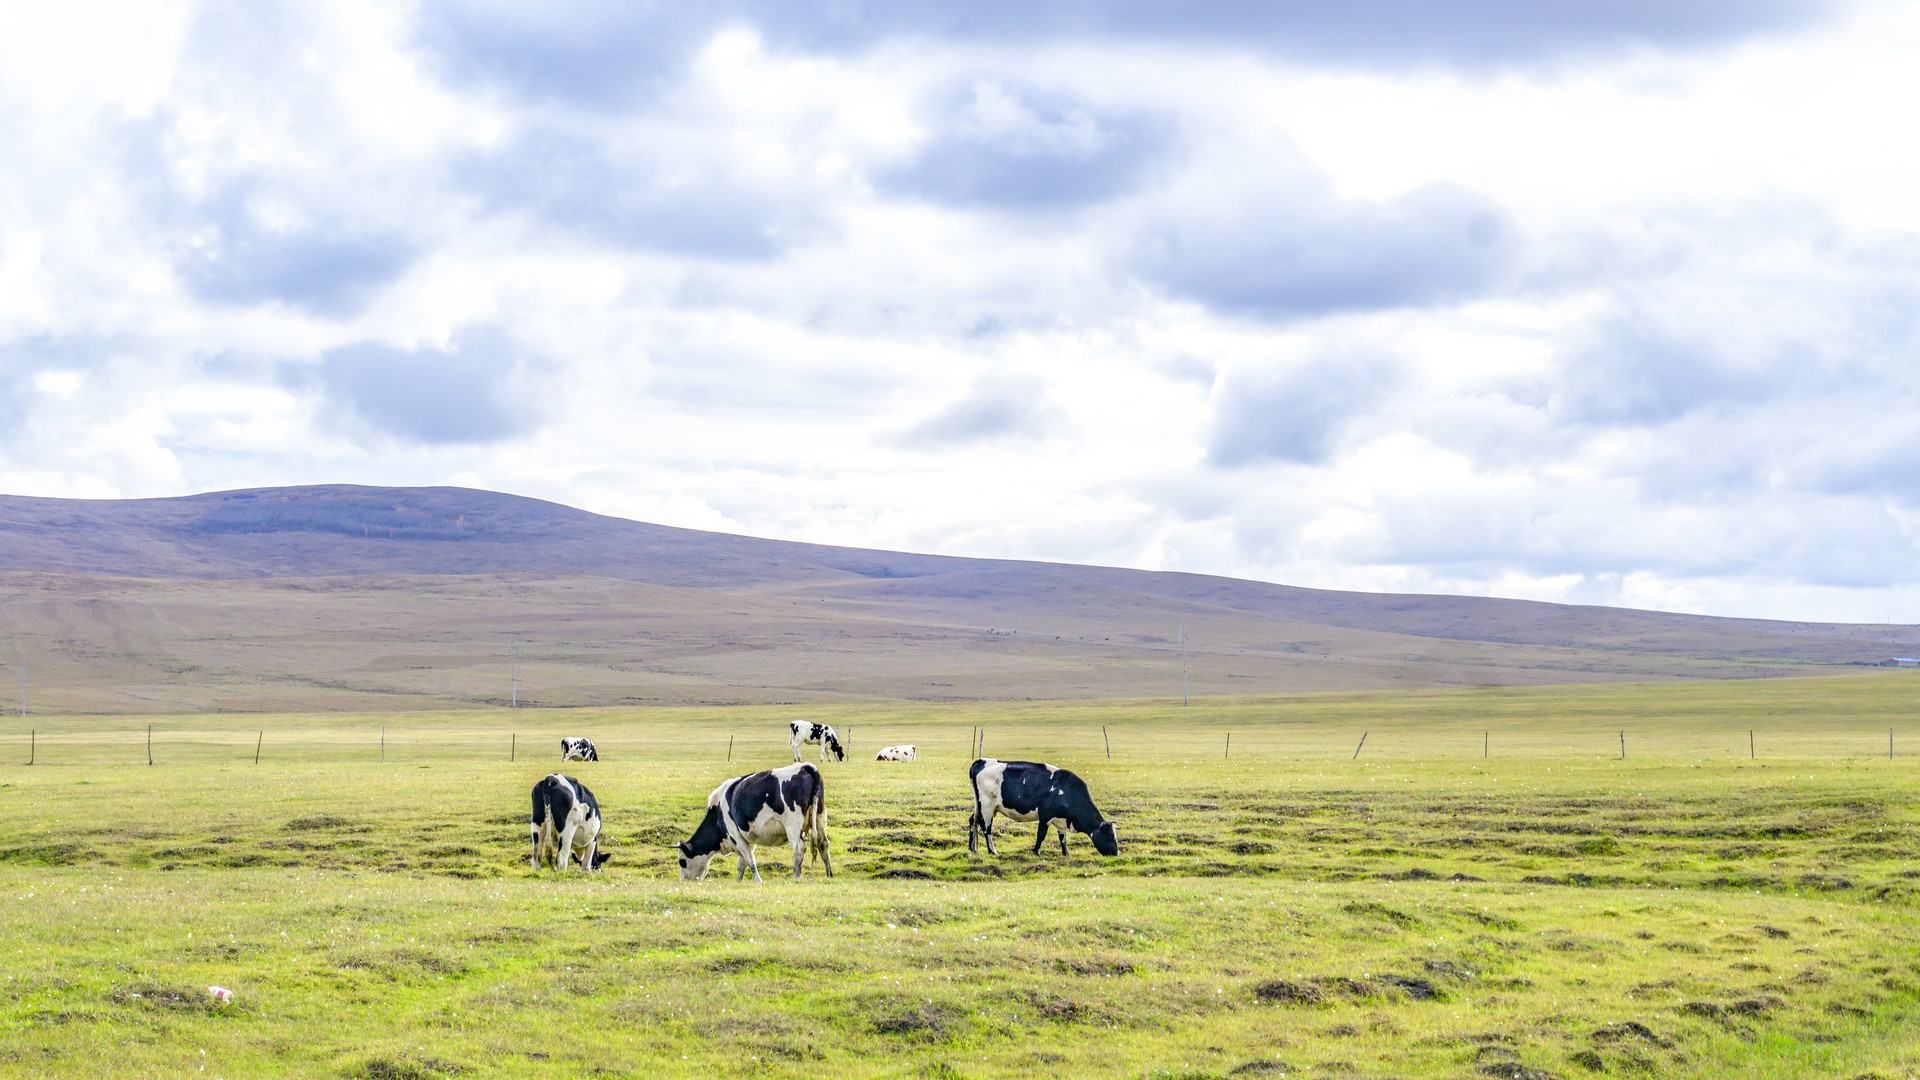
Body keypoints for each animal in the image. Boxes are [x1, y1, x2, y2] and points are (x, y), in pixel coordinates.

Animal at [675, 757, 833, 883]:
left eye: (682, 862)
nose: (683, 881)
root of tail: (806, 767)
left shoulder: (736, 836)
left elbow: (750, 860)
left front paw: (758, 881)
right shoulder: (749, 839)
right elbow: (742, 864)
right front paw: (738, 882)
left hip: (792, 824)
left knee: (798, 848)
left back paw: (795, 876)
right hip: (820, 815)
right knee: (823, 844)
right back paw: (829, 874)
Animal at [967, 757, 1121, 857]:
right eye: (1110, 836)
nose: (1116, 853)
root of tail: (982, 761)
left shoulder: (1060, 820)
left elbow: (1063, 838)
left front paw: (1066, 854)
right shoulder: (1046, 815)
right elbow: (1041, 835)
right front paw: (1036, 852)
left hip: (980, 805)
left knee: (973, 820)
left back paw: (972, 848)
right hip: (987, 805)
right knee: (986, 828)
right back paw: (992, 851)